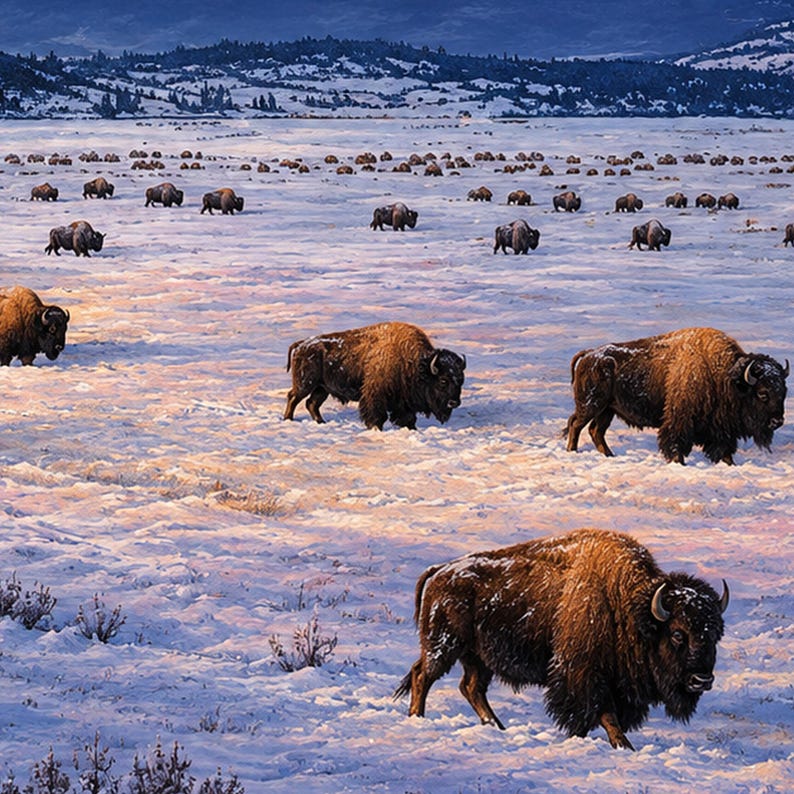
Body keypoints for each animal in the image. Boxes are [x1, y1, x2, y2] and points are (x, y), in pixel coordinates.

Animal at [284, 321, 466, 430]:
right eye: (443, 381)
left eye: (461, 381)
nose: (454, 402)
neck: (414, 363)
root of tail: (301, 344)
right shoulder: (376, 395)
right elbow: (377, 416)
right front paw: (375, 428)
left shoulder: (404, 402)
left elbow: (408, 418)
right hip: (306, 384)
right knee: (294, 397)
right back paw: (288, 419)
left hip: (322, 388)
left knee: (312, 403)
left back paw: (321, 422)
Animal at [395, 528, 728, 750]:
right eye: (677, 633)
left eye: (714, 634)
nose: (702, 680)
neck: (630, 607)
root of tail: (440, 571)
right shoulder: (585, 675)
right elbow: (602, 714)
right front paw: (623, 746)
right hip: (445, 647)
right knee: (423, 675)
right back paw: (418, 718)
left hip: (477, 657)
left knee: (470, 687)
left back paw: (497, 727)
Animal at [565, 326, 788, 464]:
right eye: (762, 393)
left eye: (783, 392)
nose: (777, 421)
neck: (725, 377)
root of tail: (589, 354)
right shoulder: (680, 421)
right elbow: (676, 444)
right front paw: (678, 463)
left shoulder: (721, 431)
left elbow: (725, 452)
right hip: (592, 405)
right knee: (576, 424)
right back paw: (572, 451)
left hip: (607, 410)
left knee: (596, 431)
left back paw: (609, 456)